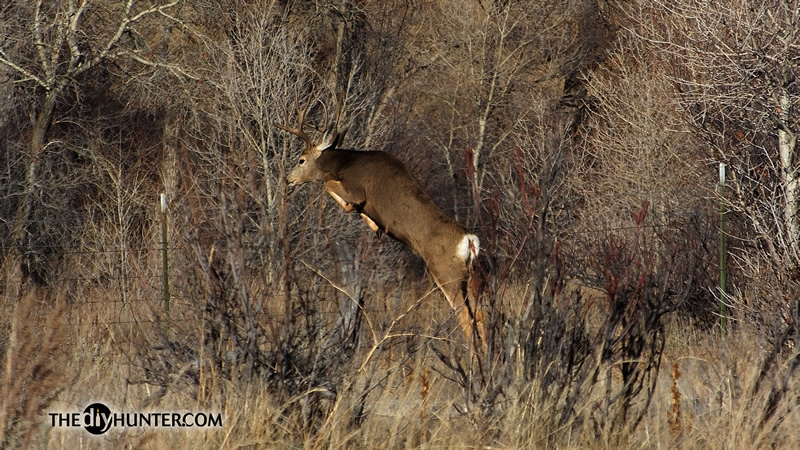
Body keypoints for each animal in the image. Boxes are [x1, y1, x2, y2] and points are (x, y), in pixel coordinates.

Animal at [276, 100, 488, 354]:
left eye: (301, 159)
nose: (288, 179)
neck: (345, 163)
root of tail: (470, 241)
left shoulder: (356, 188)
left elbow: (328, 185)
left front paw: (367, 220)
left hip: (447, 273)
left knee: (465, 315)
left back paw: (471, 353)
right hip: (472, 277)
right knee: (481, 314)